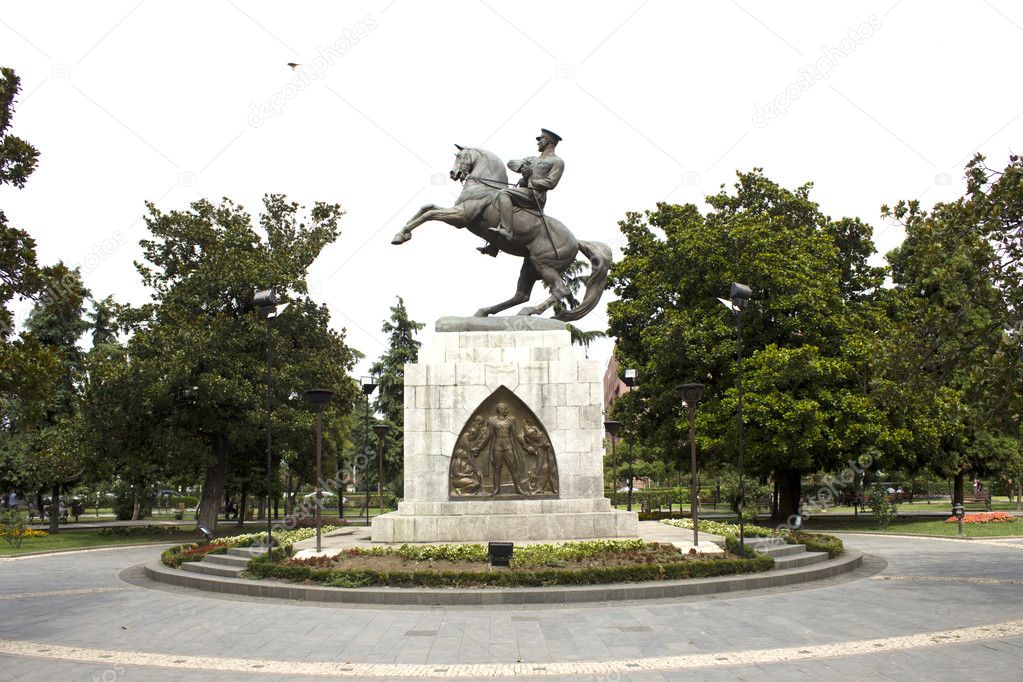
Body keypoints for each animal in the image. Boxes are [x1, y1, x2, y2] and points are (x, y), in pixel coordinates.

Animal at [386, 147, 601, 321]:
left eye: (461, 156)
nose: (454, 173)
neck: (483, 186)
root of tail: (576, 242)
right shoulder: (457, 212)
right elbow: (426, 207)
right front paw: (401, 233)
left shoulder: (461, 217)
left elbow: (429, 214)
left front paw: (401, 236)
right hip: (530, 265)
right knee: (521, 295)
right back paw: (485, 311)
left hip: (544, 265)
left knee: (560, 290)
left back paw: (529, 311)